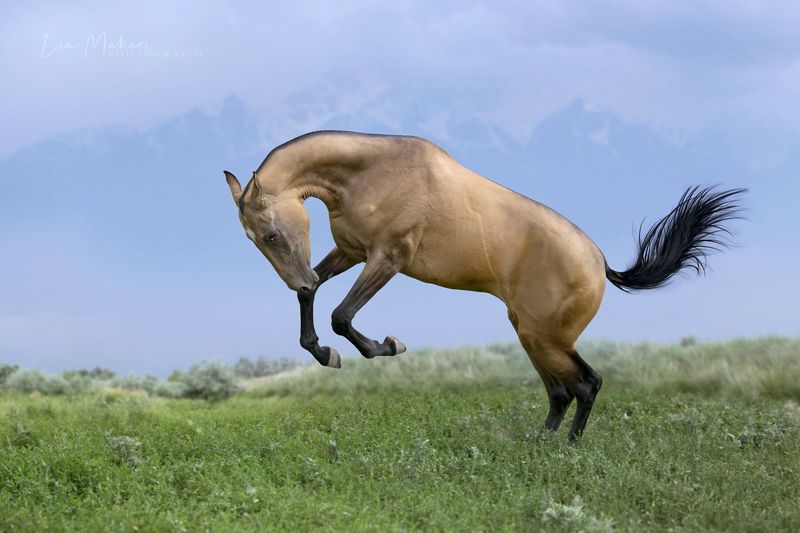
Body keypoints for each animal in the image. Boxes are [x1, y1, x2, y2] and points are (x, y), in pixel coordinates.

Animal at [224, 130, 744, 440]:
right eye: (254, 239)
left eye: (270, 235)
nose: (298, 273)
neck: (374, 172)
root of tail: (600, 264)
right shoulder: (351, 252)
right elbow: (315, 298)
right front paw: (324, 352)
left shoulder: (387, 257)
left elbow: (342, 315)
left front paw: (387, 346)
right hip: (530, 334)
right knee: (562, 391)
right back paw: (541, 443)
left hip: (546, 338)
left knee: (587, 383)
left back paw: (570, 447)